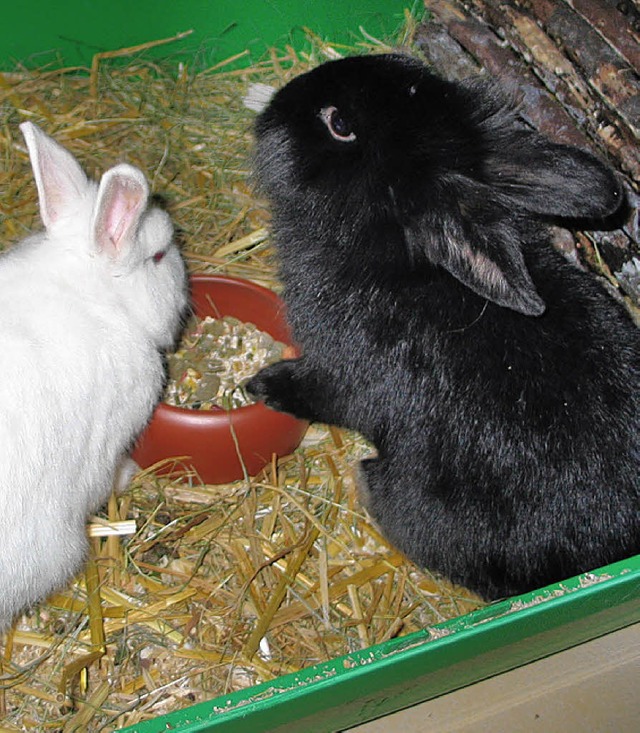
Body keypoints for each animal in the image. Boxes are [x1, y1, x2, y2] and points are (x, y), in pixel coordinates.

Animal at [249, 53, 640, 600]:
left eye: (339, 124)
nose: (280, 101)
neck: (391, 254)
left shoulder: (341, 376)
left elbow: (315, 391)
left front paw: (261, 385)